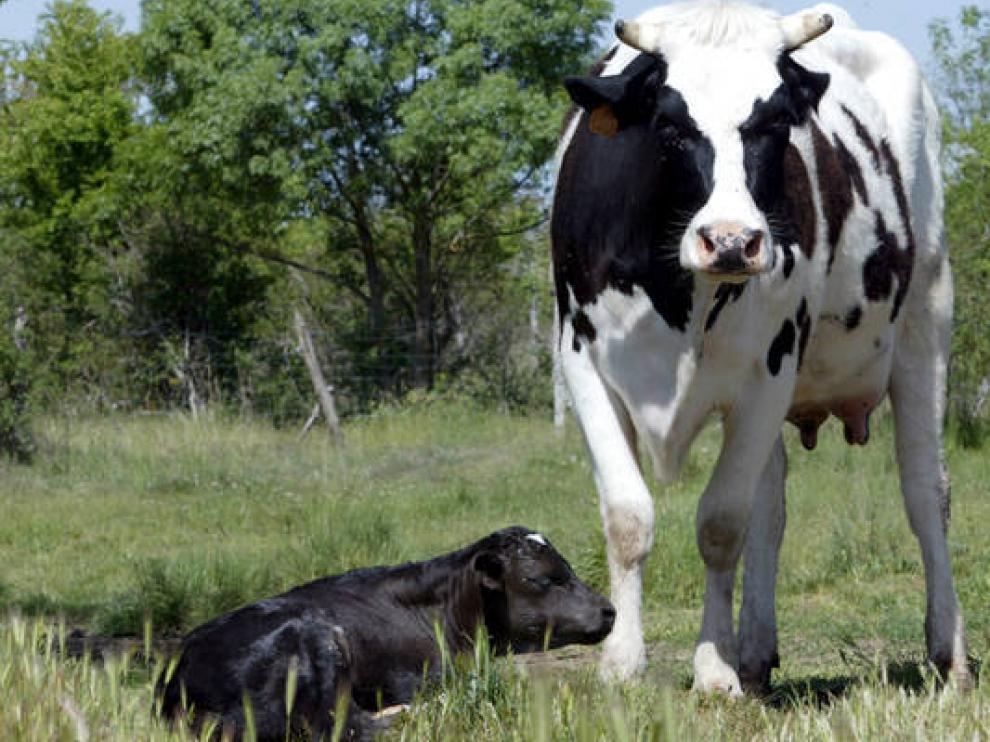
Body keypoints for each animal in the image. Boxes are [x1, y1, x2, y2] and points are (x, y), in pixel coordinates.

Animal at [154, 528, 612, 740]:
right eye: (543, 579)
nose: (610, 610)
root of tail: (175, 677)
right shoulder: (427, 676)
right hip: (318, 647)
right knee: (352, 725)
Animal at [556, 0, 972, 696]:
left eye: (774, 122)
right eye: (669, 124)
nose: (730, 241)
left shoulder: (766, 374)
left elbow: (721, 523)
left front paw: (712, 668)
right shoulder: (582, 361)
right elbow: (629, 517)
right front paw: (622, 662)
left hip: (925, 322)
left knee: (926, 491)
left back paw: (949, 652)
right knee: (770, 507)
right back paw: (755, 650)